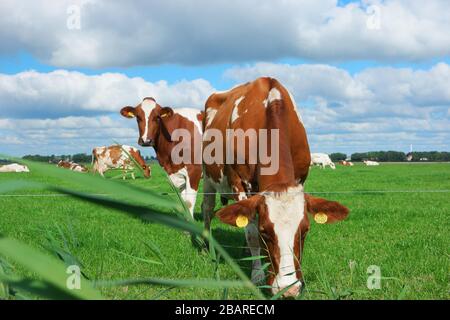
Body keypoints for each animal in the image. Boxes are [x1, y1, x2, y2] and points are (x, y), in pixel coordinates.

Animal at [202, 77, 350, 298]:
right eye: (265, 232)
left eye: (305, 231)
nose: (288, 290)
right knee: (207, 209)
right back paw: (206, 246)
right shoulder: (239, 183)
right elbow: (251, 233)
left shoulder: (300, 179)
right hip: (207, 177)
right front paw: (257, 275)